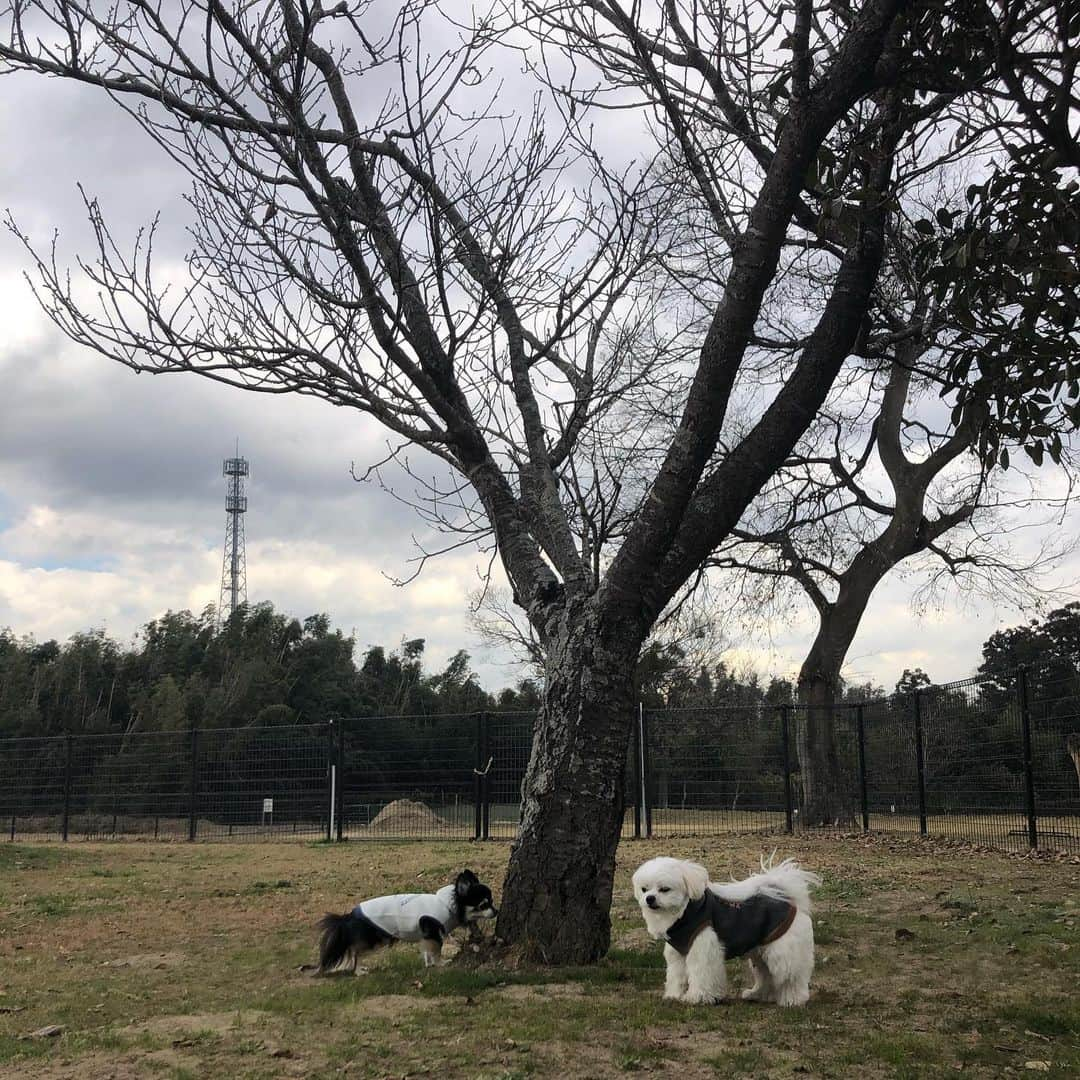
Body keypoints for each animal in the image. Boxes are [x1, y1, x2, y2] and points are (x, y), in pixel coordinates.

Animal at [311, 864, 498, 976]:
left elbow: (427, 952)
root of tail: (348, 915)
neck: (447, 904)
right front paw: (441, 963)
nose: (496, 912)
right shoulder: (432, 932)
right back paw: (357, 971)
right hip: (374, 940)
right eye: (483, 905)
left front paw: (429, 964)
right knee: (355, 951)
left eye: (492, 902)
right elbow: (436, 950)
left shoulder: (426, 936)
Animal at [630, 855, 816, 1006]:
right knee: (766, 974)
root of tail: (786, 896)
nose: (649, 898)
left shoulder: (702, 948)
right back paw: (757, 994)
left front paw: (697, 997)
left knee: (791, 976)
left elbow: (700, 973)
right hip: (760, 952)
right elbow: (676, 975)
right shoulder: (678, 954)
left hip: (782, 952)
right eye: (644, 889)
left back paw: (792, 999)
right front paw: (674, 995)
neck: (685, 913)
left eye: (664, 889)